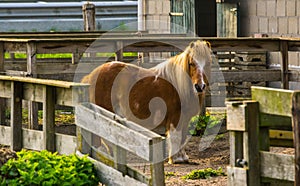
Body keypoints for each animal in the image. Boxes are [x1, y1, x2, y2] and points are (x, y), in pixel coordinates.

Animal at [81, 40, 212, 163]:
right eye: (191, 63)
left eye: (207, 64)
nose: (200, 86)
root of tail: (91, 75)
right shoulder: (175, 117)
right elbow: (176, 137)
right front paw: (175, 159)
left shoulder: (185, 119)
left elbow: (183, 137)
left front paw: (183, 157)